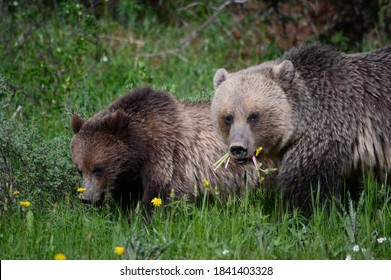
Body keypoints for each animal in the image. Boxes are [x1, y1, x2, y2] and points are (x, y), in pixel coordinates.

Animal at [70, 86, 272, 209]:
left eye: (98, 168)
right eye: (80, 169)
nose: (86, 198)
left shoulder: (167, 156)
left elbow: (161, 194)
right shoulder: (130, 175)